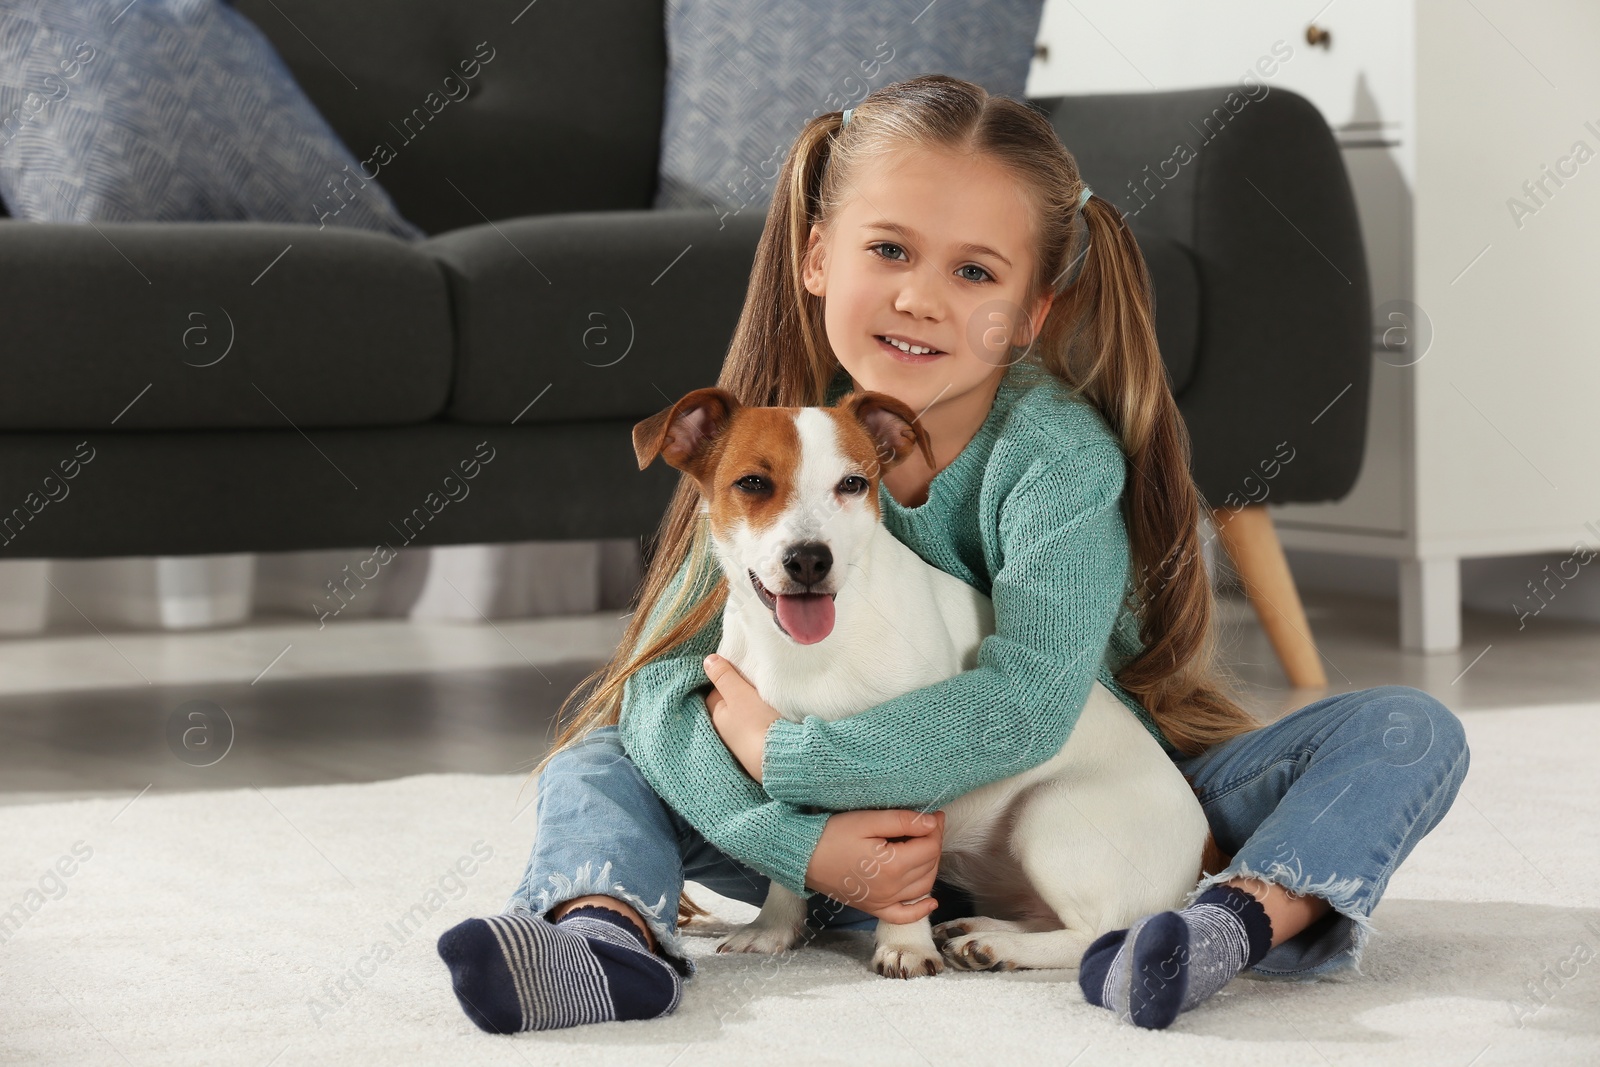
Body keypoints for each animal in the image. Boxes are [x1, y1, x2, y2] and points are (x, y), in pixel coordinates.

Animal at [630, 388, 1216, 979]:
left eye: (853, 484)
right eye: (752, 482)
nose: (810, 559)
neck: (812, 653)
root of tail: (1207, 852)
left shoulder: (906, 759)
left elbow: (905, 879)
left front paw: (905, 946)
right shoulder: (781, 760)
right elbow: (781, 856)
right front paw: (774, 929)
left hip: (1047, 811)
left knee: (1100, 933)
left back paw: (997, 946)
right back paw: (978, 931)